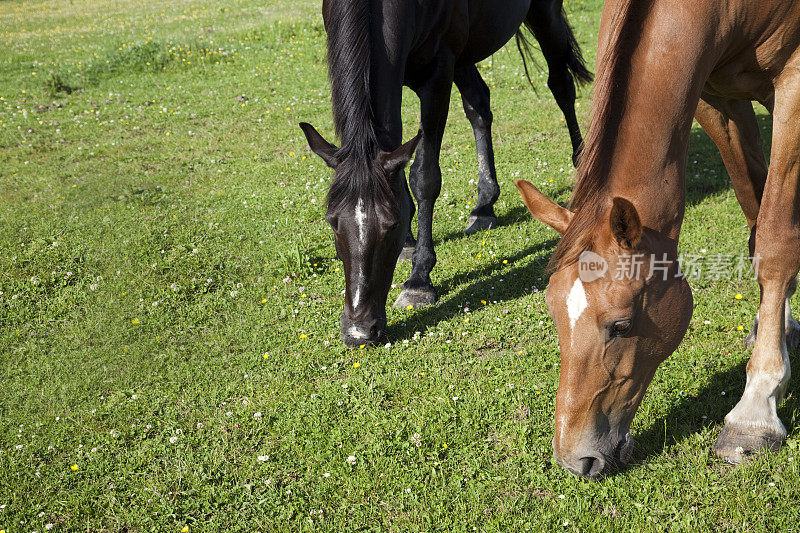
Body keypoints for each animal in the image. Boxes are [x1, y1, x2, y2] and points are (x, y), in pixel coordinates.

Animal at [298, 0, 588, 344]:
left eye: (390, 225)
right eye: (331, 221)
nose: (359, 331)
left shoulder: (437, 75)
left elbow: (424, 176)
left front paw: (419, 280)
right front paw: (408, 245)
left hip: (544, 14)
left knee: (561, 84)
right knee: (478, 103)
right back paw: (484, 207)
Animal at [516, 0, 796, 476]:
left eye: (621, 325)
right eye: (554, 314)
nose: (576, 459)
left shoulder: (793, 86)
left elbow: (776, 244)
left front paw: (754, 413)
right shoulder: (717, 100)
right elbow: (756, 216)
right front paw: (778, 329)